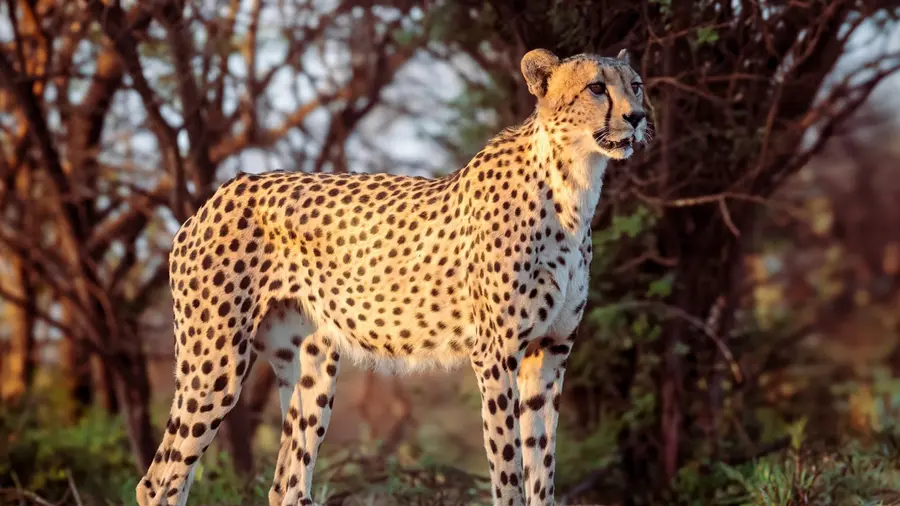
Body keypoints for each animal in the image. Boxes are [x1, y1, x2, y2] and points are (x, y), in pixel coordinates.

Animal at [136, 47, 650, 506]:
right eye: (597, 87)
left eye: (637, 85)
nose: (638, 117)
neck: (573, 185)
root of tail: (220, 192)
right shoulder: (496, 354)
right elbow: (507, 472)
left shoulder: (550, 354)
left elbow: (542, 470)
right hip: (215, 362)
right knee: (160, 481)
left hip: (312, 365)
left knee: (287, 485)